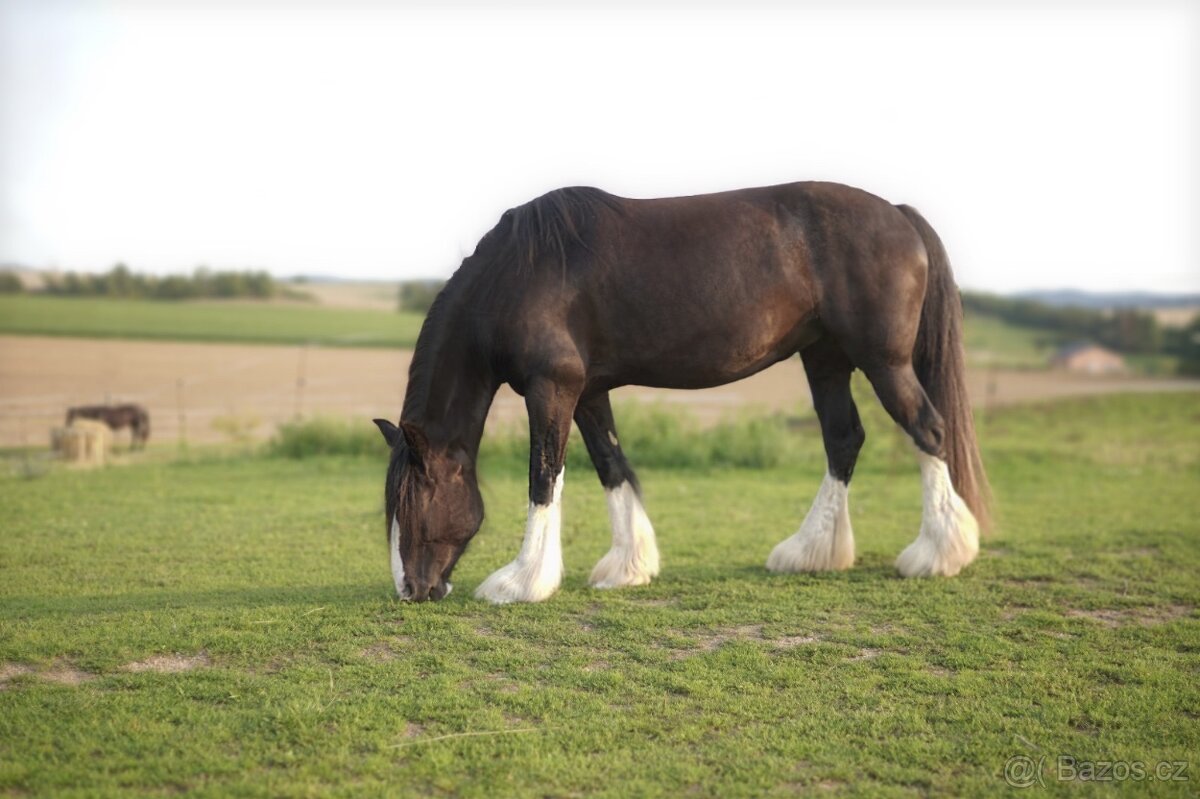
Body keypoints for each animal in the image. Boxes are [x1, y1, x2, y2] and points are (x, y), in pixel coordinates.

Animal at [374, 181, 990, 603]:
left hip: (883, 360)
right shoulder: (588, 391)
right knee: (844, 439)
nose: (412, 590)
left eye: (413, 501)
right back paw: (811, 552)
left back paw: (938, 554)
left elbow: (543, 479)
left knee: (928, 428)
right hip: (826, 359)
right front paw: (629, 567)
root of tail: (898, 214)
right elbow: (611, 466)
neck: (518, 275)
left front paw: (521, 582)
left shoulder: (552, 389)